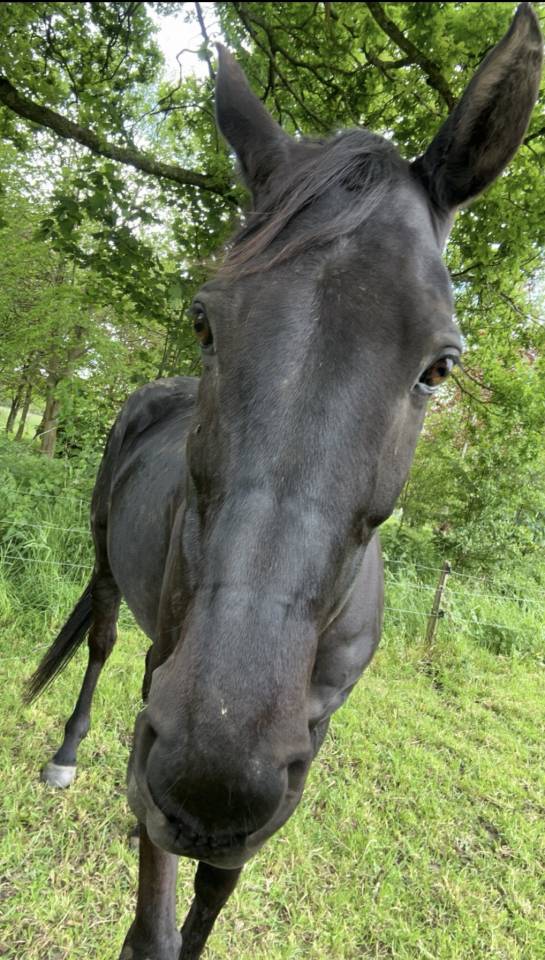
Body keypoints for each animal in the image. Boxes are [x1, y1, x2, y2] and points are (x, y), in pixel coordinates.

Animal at [26, 5, 542, 958]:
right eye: (204, 321)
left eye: (440, 368)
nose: (214, 773)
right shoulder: (164, 700)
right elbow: (155, 922)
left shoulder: (303, 741)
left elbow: (216, 891)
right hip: (111, 571)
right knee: (101, 640)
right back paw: (68, 753)